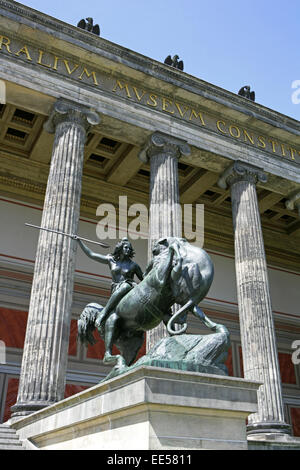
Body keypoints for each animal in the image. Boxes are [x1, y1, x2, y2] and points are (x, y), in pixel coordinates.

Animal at [77, 239, 213, 370]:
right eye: (183, 242)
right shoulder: (160, 279)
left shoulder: (176, 301)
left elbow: (195, 312)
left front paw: (215, 327)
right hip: (112, 321)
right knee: (108, 347)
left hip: (132, 342)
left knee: (127, 356)